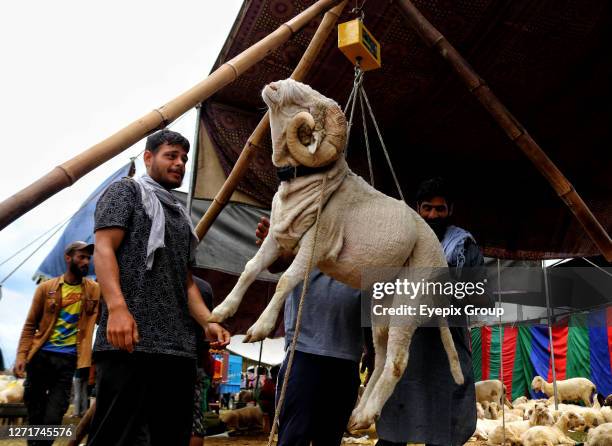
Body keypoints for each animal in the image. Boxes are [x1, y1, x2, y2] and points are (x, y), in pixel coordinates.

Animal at [208, 78, 462, 430]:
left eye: (306, 103)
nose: (273, 86)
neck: (307, 184)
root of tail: (438, 255)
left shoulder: (317, 245)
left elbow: (286, 280)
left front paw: (258, 328)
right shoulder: (278, 236)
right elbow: (250, 267)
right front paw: (220, 312)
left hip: (410, 300)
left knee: (397, 361)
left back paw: (367, 415)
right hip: (381, 305)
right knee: (380, 356)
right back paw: (356, 416)